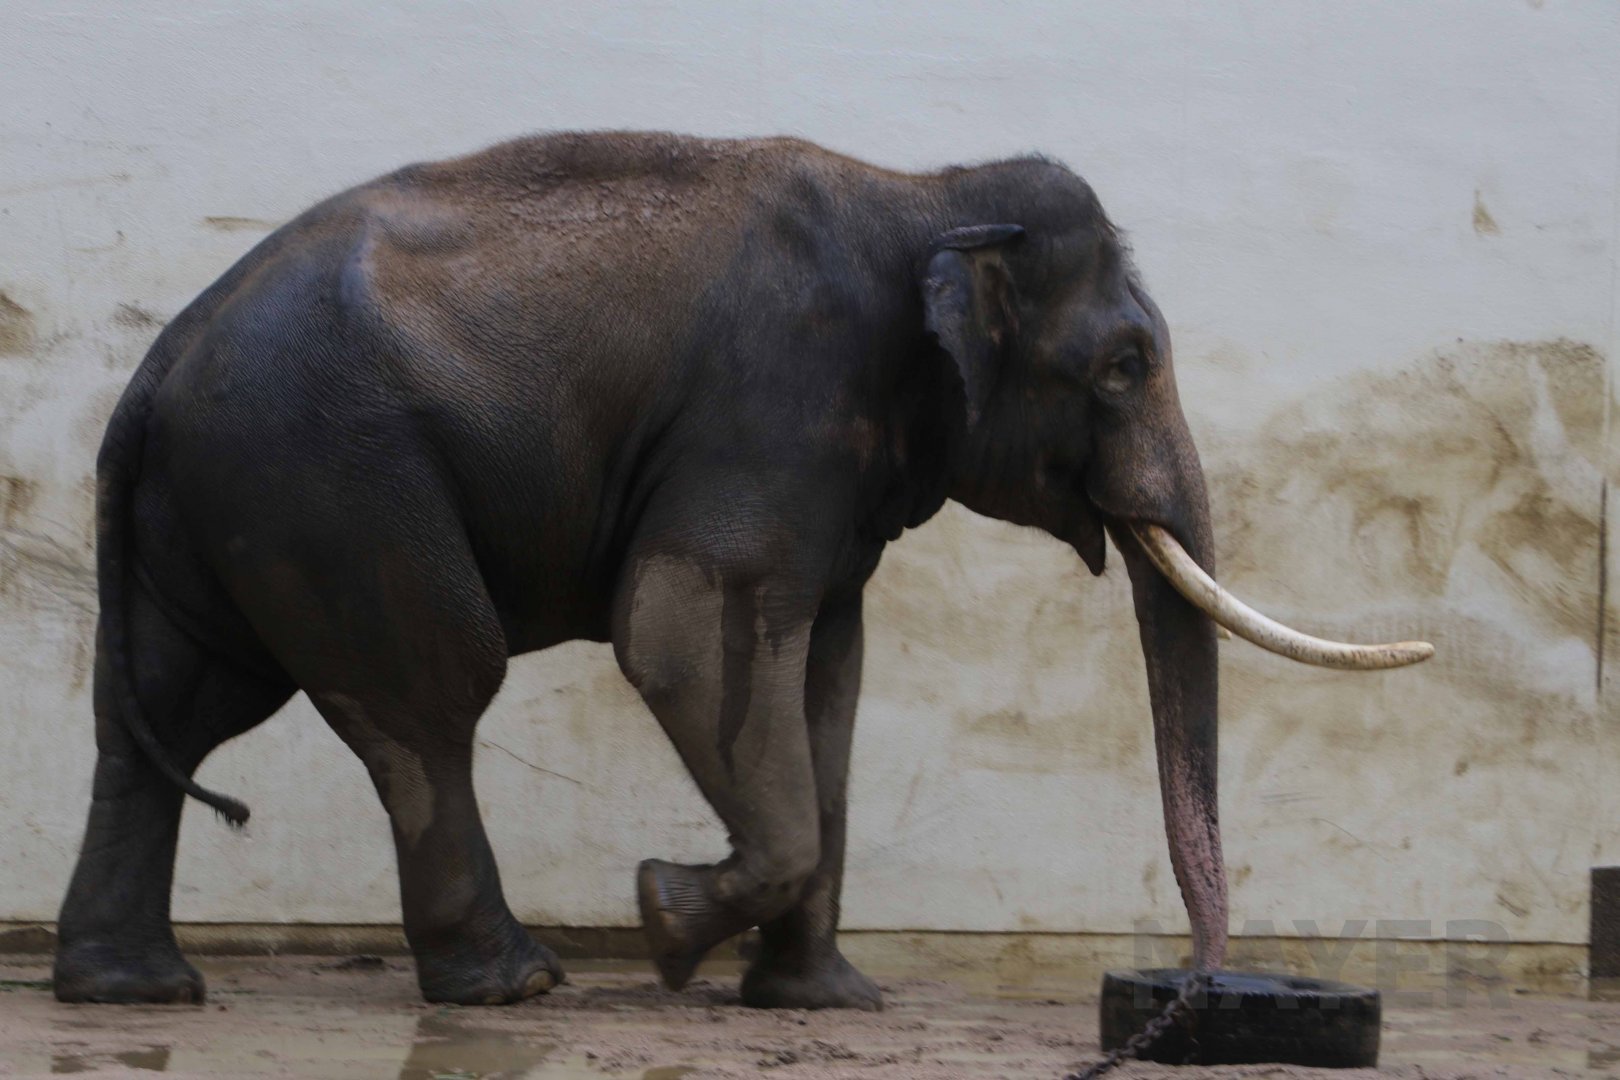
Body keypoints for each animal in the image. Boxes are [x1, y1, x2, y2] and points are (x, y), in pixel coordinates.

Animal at [54, 131, 1429, 1010]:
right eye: (1125, 365)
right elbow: (676, 627)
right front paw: (665, 922)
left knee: (168, 712)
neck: (922, 191)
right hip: (334, 477)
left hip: (235, 501)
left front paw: (823, 1001)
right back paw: (516, 984)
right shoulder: (775, 403)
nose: (1192, 990)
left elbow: (830, 673)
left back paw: (135, 990)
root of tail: (159, 361)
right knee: (429, 696)